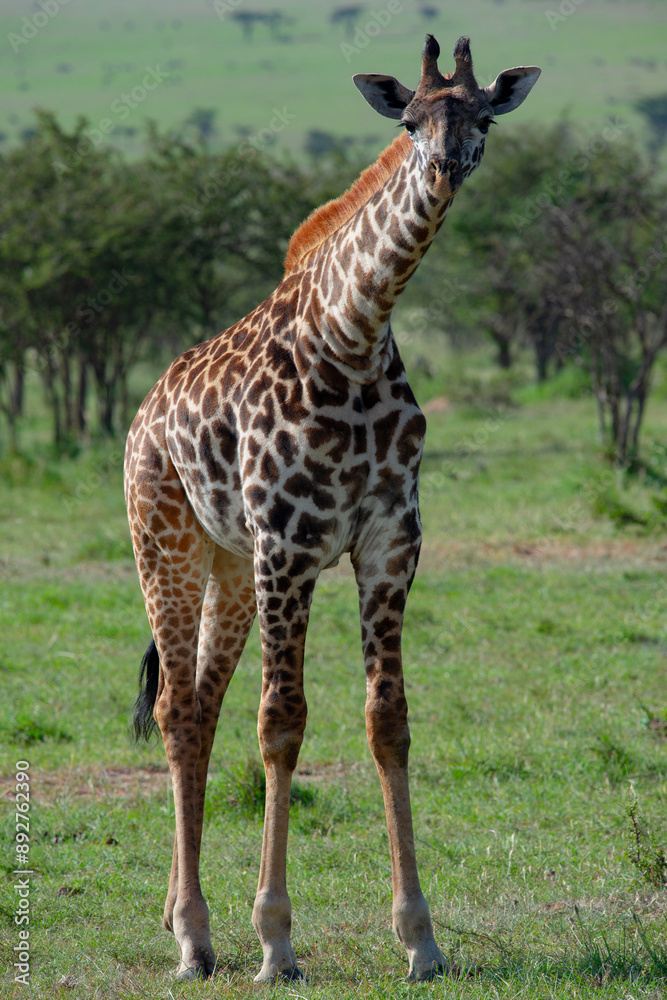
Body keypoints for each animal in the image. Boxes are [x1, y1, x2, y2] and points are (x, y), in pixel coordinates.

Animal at [124, 34, 540, 982]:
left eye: (484, 116)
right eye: (411, 119)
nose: (447, 163)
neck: (353, 335)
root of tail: (140, 415)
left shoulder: (389, 543)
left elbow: (388, 722)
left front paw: (419, 938)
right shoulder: (290, 545)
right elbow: (282, 724)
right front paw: (275, 941)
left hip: (229, 565)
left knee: (200, 706)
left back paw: (180, 919)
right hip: (165, 544)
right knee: (175, 709)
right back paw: (196, 937)